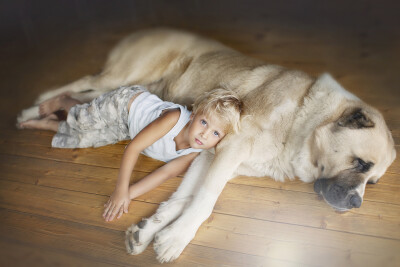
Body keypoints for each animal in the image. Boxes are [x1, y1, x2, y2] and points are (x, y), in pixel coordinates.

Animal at [18, 28, 394, 262]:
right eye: (360, 163)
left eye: (373, 182)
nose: (357, 203)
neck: (305, 119)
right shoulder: (229, 150)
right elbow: (204, 202)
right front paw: (175, 239)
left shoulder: (211, 156)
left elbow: (185, 198)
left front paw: (151, 230)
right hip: (122, 78)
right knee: (82, 82)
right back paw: (30, 108)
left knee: (78, 100)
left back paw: (43, 113)